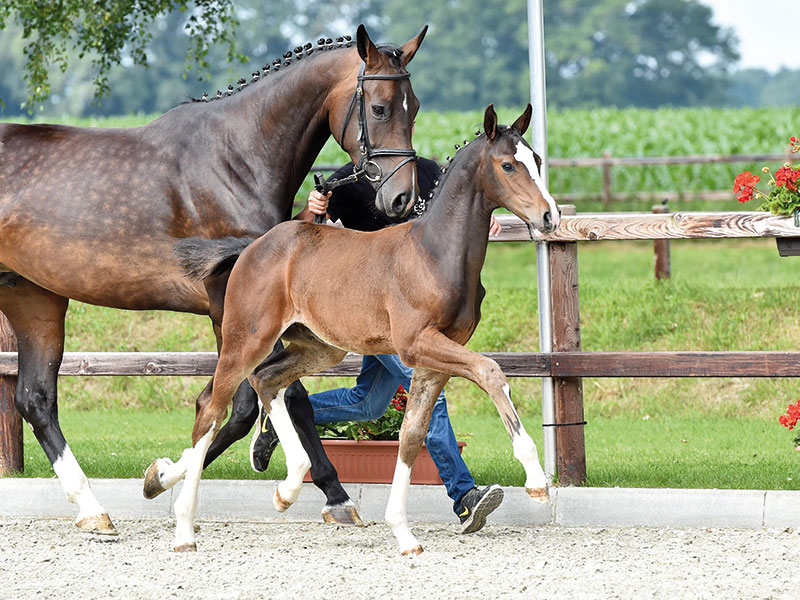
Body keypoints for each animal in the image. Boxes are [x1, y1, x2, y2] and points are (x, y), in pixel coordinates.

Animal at [0, 24, 426, 536]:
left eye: (415, 106)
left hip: (32, 296)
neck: (236, 158)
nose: (402, 199)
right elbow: (262, 399)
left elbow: (254, 400)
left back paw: (92, 509)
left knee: (36, 399)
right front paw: (169, 477)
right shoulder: (230, 305)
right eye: (380, 107)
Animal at [150, 104, 560, 553]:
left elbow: (412, 434)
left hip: (320, 347)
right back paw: (184, 527)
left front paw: (404, 533)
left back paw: (278, 486)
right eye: (507, 165)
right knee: (213, 407)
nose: (549, 216)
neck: (434, 254)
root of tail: (252, 246)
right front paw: (537, 481)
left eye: (537, 161)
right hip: (247, 338)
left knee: (266, 381)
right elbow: (491, 372)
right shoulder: (417, 344)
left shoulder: (435, 358)